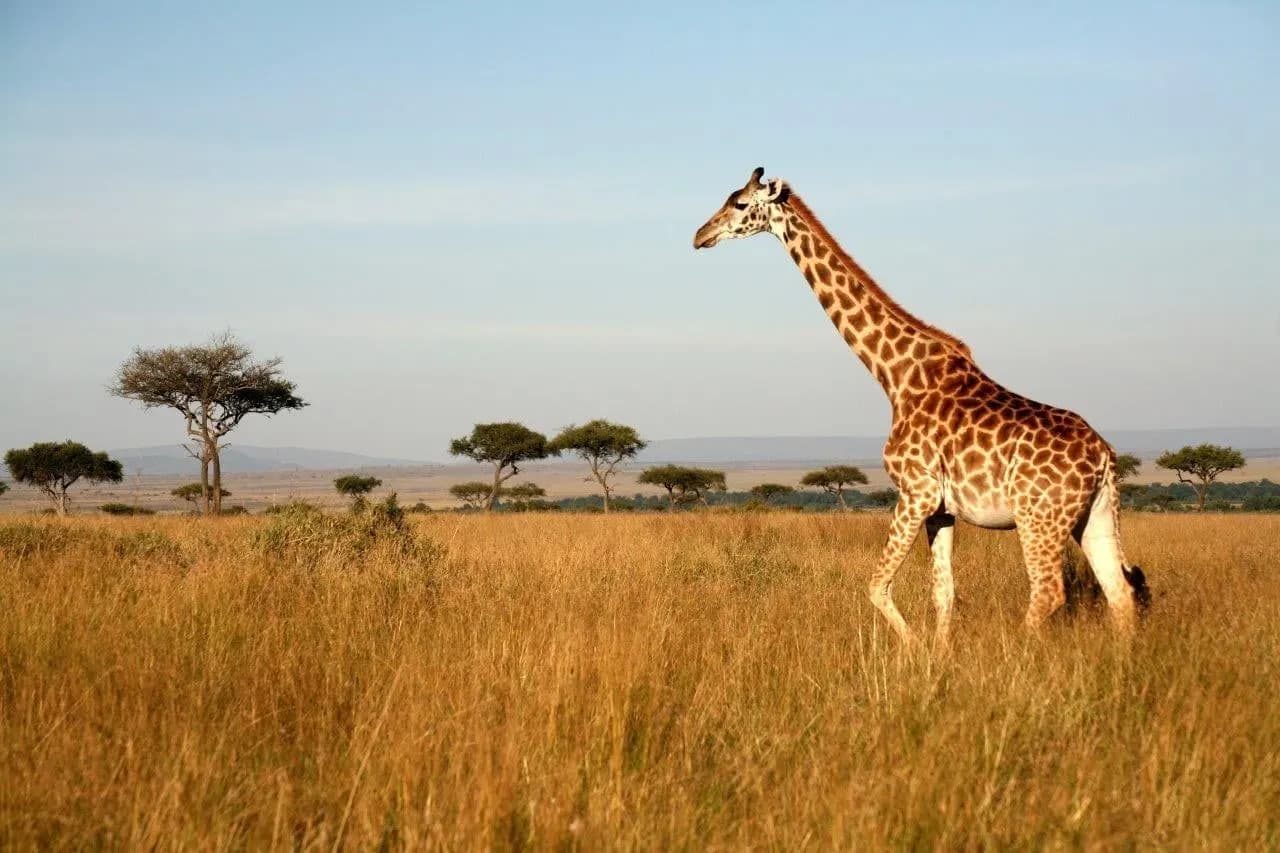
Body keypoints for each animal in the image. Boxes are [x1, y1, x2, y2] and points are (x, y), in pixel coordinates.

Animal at [693, 167, 1150, 647]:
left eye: (741, 204)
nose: (700, 235)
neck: (895, 376)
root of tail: (1104, 457)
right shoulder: (942, 509)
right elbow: (943, 593)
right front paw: (940, 654)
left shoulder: (916, 492)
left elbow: (877, 585)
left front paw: (914, 649)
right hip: (1095, 514)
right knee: (1118, 591)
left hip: (1038, 517)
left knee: (1048, 591)